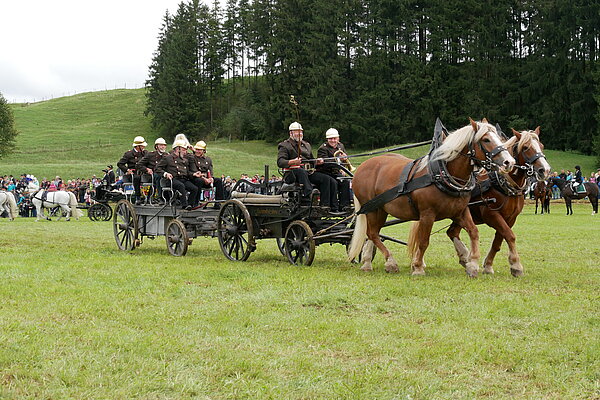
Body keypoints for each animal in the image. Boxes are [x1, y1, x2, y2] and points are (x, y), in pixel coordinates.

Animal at [346, 117, 516, 276]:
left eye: (499, 138)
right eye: (486, 139)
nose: (509, 162)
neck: (442, 174)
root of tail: (363, 166)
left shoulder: (460, 212)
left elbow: (473, 232)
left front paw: (472, 264)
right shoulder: (427, 214)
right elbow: (423, 242)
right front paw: (418, 267)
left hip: (380, 209)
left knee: (373, 233)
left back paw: (368, 263)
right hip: (372, 209)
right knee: (372, 233)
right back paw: (390, 262)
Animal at [448, 126, 552, 276]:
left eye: (542, 146)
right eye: (525, 147)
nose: (545, 170)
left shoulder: (510, 218)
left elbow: (498, 241)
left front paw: (488, 265)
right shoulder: (491, 215)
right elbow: (510, 236)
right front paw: (516, 265)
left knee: (452, 232)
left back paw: (465, 258)